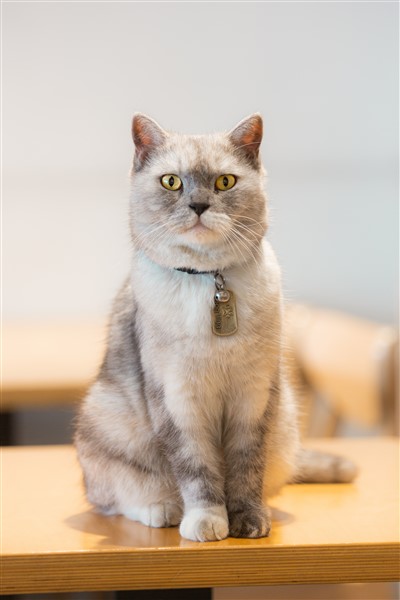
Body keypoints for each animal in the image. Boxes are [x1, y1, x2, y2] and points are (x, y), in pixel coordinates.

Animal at [75, 113, 356, 544]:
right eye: (171, 181)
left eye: (225, 182)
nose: (198, 205)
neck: (210, 280)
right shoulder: (179, 400)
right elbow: (198, 471)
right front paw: (207, 523)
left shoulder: (252, 396)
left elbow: (245, 468)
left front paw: (249, 522)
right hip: (104, 418)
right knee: (113, 497)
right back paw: (163, 511)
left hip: (286, 425)